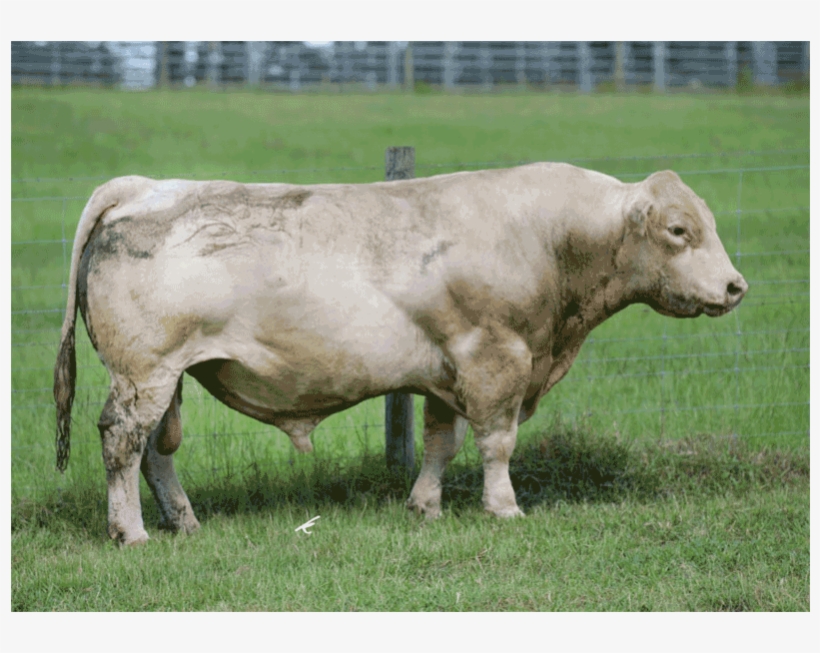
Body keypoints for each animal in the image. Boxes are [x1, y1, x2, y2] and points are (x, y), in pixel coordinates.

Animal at [53, 163, 747, 545]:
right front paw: (504, 507)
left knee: (155, 451)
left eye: (709, 223)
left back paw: (183, 522)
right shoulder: (496, 357)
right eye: (679, 230)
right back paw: (131, 532)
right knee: (121, 441)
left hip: (165, 377)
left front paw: (424, 507)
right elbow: (497, 443)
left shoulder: (447, 371)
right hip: (143, 372)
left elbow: (442, 444)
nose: (735, 287)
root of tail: (146, 187)